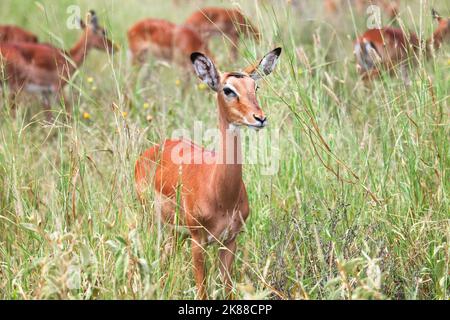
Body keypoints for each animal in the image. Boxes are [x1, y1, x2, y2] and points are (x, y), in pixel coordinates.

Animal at [134, 47, 282, 298]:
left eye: (255, 87)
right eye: (228, 89)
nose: (260, 118)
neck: (222, 196)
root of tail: (150, 151)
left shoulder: (229, 242)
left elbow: (228, 289)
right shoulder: (198, 242)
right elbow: (202, 290)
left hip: (176, 234)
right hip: (155, 224)